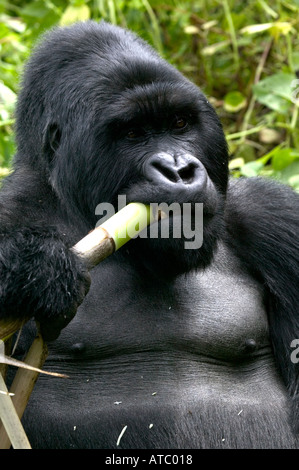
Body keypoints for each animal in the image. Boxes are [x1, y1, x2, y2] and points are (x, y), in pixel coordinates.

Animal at [0, 21, 299, 448]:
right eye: (133, 133)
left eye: (180, 123)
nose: (178, 170)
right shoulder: (13, 206)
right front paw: (37, 270)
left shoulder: (275, 218)